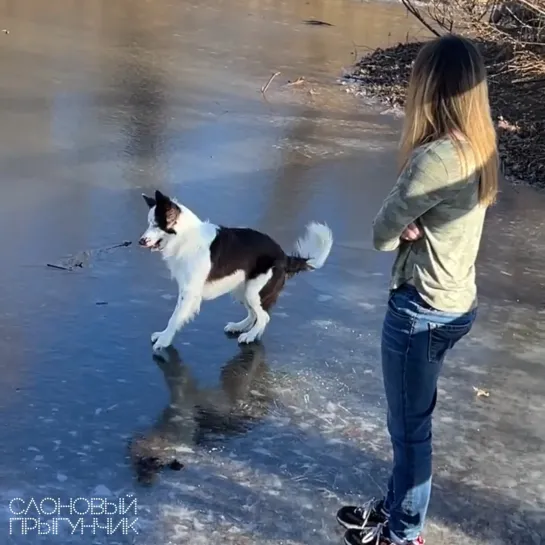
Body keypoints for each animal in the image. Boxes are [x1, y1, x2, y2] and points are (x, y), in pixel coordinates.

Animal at [137, 191, 332, 350]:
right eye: (149, 224)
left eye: (156, 224)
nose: (140, 241)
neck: (186, 237)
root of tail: (284, 256)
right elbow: (176, 315)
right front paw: (163, 335)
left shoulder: (189, 291)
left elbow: (175, 316)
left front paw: (164, 341)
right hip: (242, 289)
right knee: (253, 314)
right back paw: (238, 327)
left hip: (254, 291)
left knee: (263, 317)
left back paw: (249, 336)